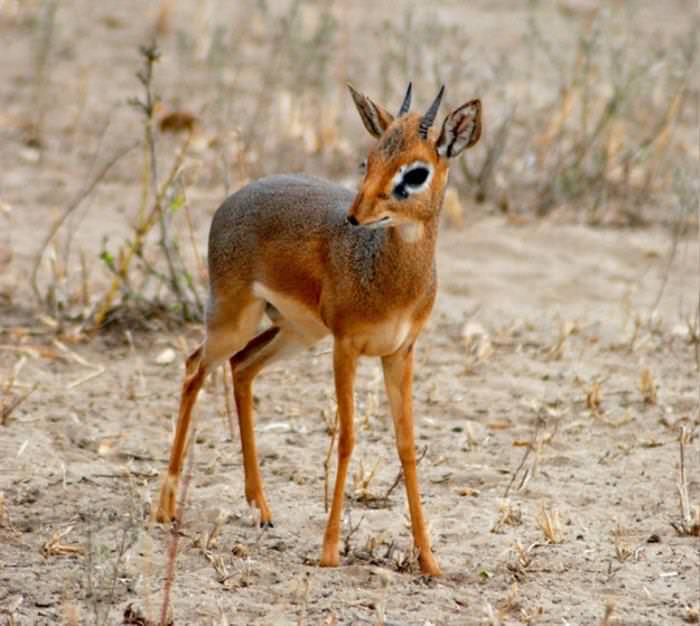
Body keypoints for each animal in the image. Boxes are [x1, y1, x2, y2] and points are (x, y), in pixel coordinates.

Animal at [157, 84, 482, 576]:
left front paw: (429, 560)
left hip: (296, 332)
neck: (389, 277)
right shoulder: (344, 348)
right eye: (369, 159)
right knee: (195, 367)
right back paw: (165, 509)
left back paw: (261, 508)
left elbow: (406, 445)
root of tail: (234, 198)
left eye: (416, 172)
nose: (355, 215)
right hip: (234, 320)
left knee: (241, 368)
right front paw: (329, 551)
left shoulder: (399, 353)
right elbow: (346, 439)